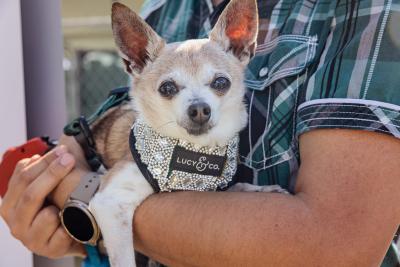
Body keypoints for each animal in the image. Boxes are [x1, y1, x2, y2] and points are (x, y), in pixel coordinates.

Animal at [88, 1, 260, 266]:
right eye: (167, 88)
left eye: (221, 83)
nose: (199, 109)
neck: (194, 151)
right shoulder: (110, 202)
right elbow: (124, 259)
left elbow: (234, 189)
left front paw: (259, 190)